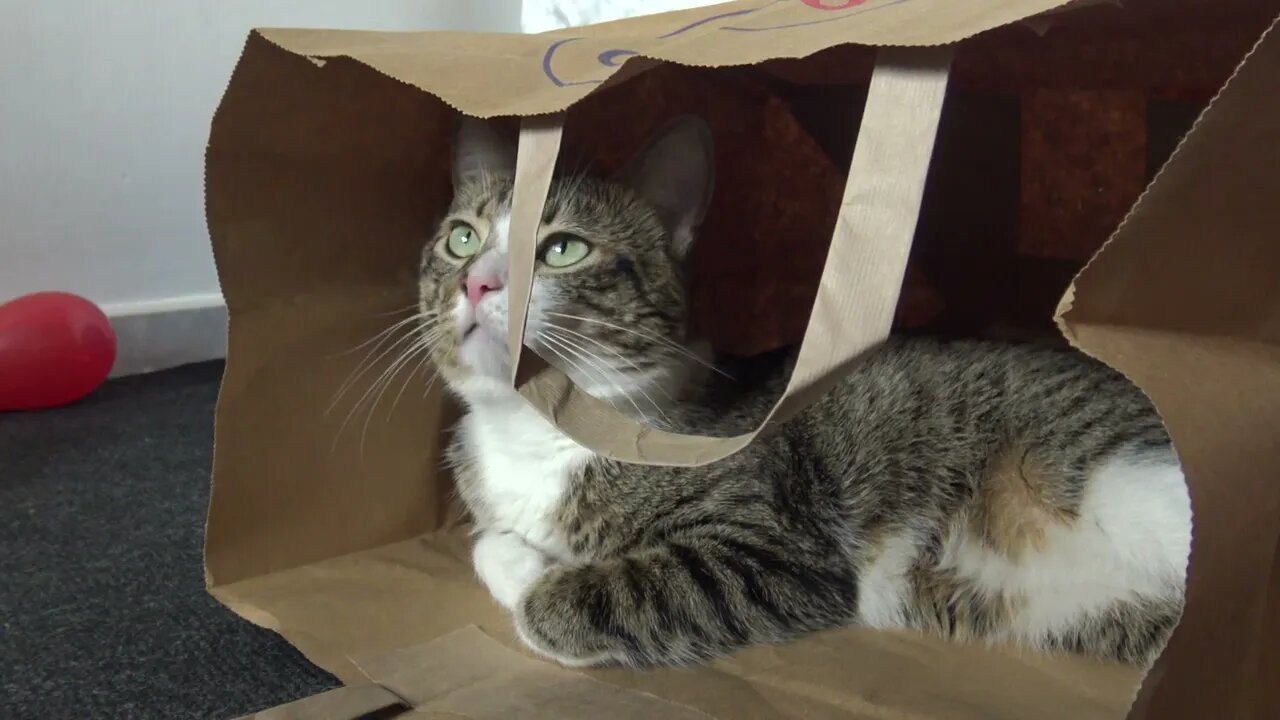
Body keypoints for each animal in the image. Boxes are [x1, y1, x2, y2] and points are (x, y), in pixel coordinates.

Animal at [417, 113, 1187, 666]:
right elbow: (486, 541)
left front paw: (545, 589)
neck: (532, 434)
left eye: (562, 248)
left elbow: (587, 596)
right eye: (461, 238)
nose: (476, 282)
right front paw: (522, 557)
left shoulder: (779, 551)